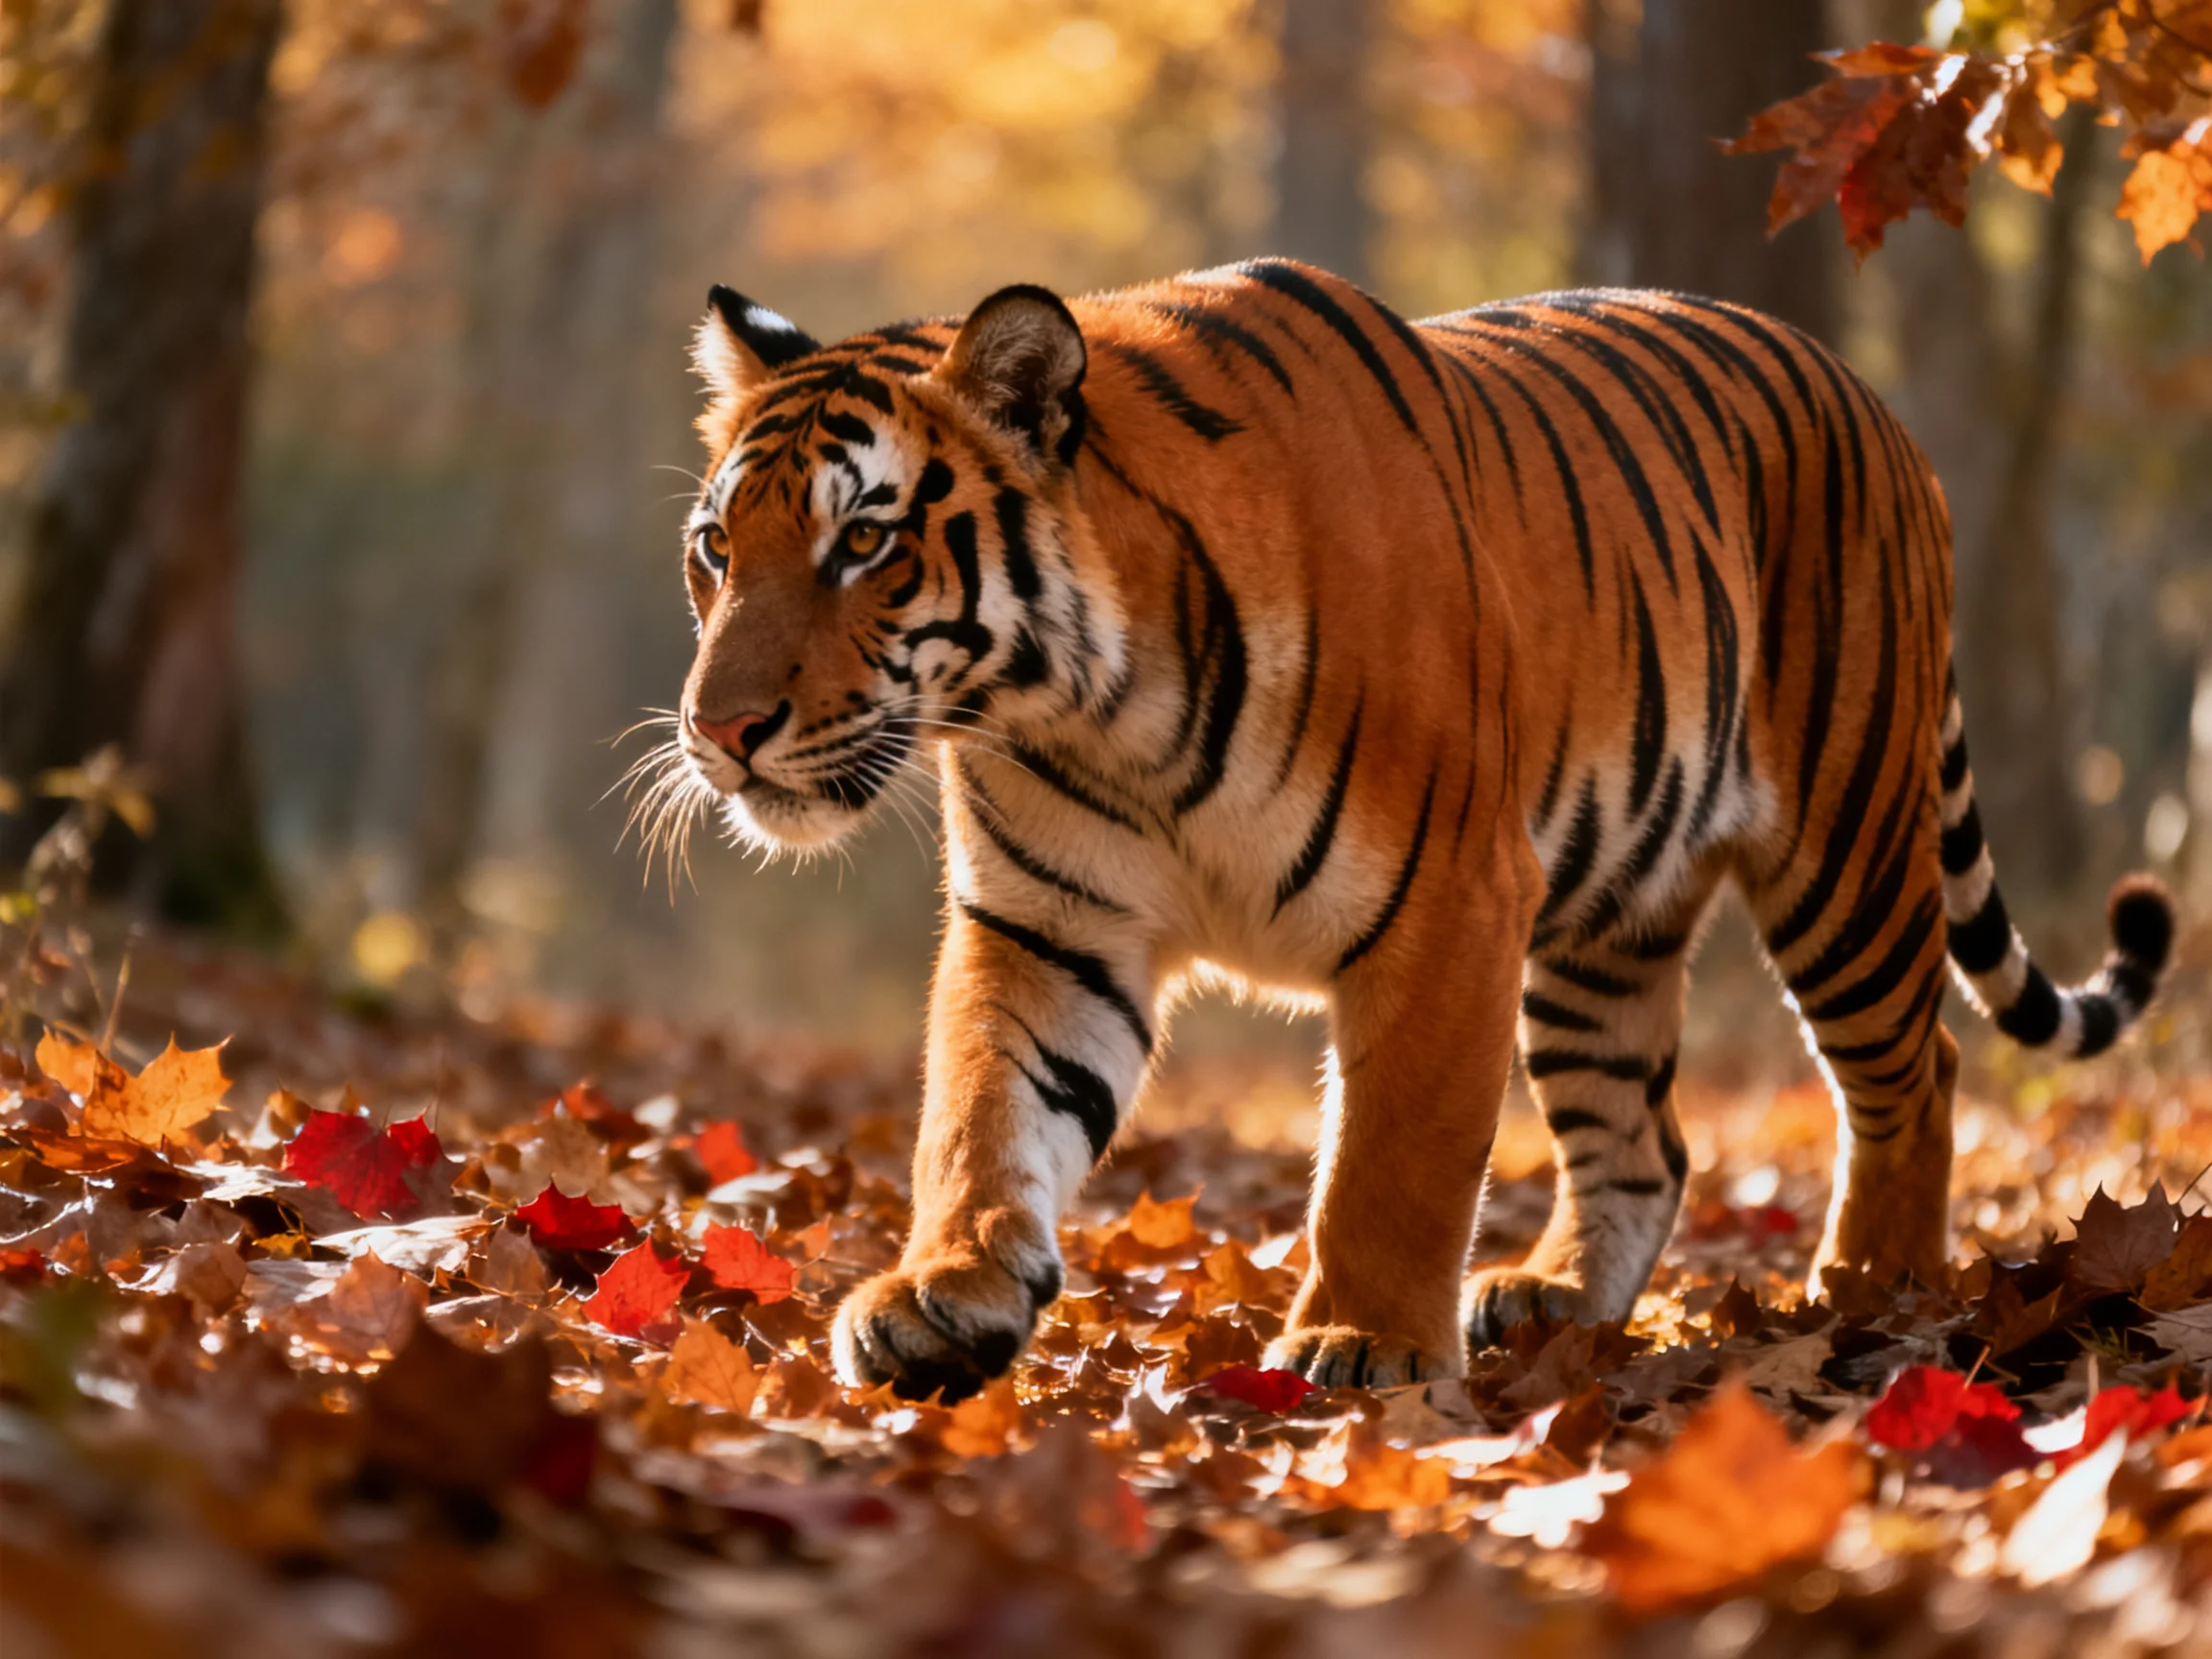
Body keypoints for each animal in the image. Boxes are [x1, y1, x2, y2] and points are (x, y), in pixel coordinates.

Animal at [662, 260, 2175, 1402]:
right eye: (718, 549)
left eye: (864, 544)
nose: (718, 728)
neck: (1090, 707)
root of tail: (1870, 401)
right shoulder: (1049, 924)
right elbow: (981, 1112)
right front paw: (948, 1293)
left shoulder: (1449, 904)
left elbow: (1395, 1157)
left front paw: (1363, 1341)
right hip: (1608, 923)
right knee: (1645, 1139)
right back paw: (1556, 1299)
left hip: (1844, 851)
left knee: (1917, 1072)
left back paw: (1874, 1294)